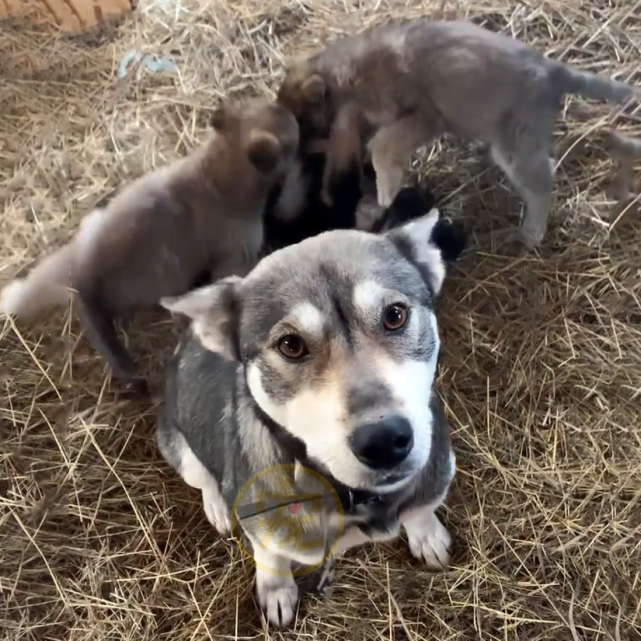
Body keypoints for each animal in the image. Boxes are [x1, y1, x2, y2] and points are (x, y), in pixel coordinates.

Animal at [155, 194, 464, 624]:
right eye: (291, 345)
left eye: (395, 315)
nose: (384, 441)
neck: (355, 497)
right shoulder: (262, 523)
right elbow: (271, 557)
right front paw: (276, 591)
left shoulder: (437, 470)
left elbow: (421, 508)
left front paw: (427, 533)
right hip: (174, 442)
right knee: (201, 476)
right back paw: (216, 504)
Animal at [278, 17, 640, 248]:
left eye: (306, 128)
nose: (297, 162)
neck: (343, 78)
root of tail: (554, 70)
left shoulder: (423, 117)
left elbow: (383, 146)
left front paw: (385, 191)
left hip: (515, 142)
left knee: (541, 180)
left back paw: (532, 232)